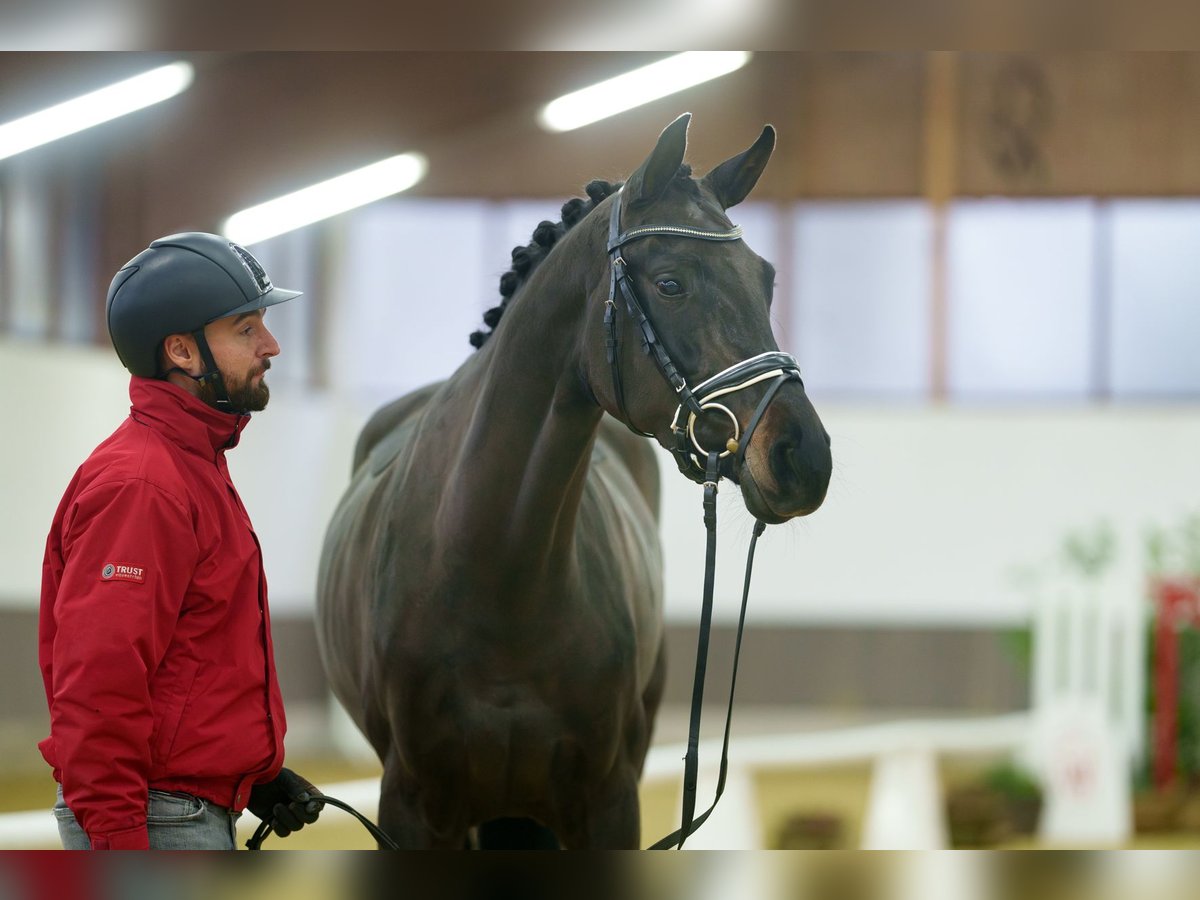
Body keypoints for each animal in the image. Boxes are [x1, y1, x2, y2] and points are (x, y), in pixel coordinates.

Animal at [314, 114, 830, 854]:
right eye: (670, 284)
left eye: (766, 280)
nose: (803, 457)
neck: (494, 569)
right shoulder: (413, 806)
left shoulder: (608, 801)